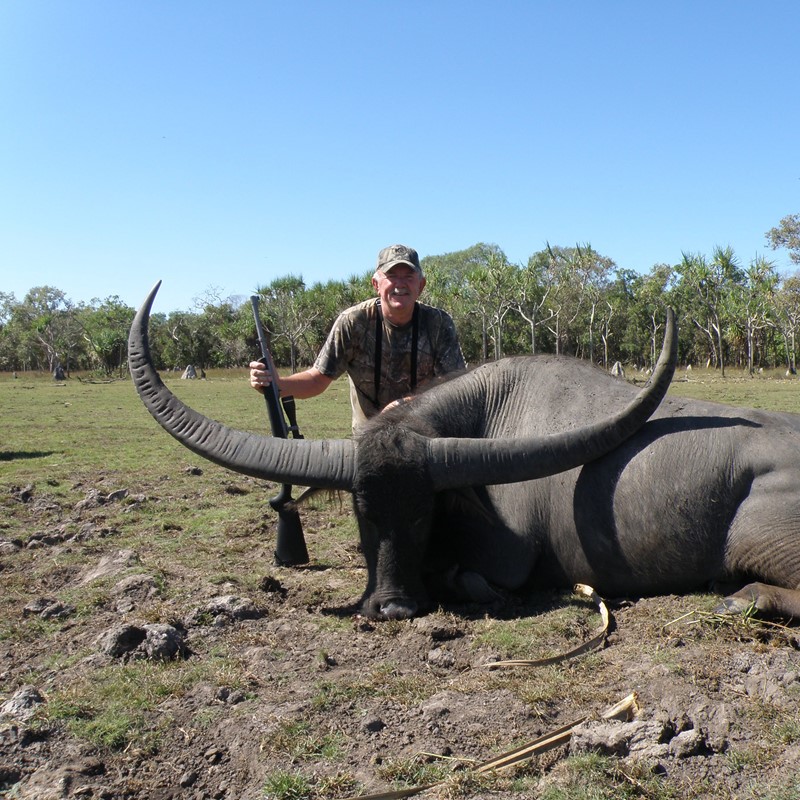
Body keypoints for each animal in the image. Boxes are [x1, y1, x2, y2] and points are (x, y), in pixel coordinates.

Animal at [129, 283, 800, 622]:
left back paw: (746, 598)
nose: (394, 608)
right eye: (363, 513)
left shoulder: (508, 558)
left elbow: (474, 578)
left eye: (424, 512)